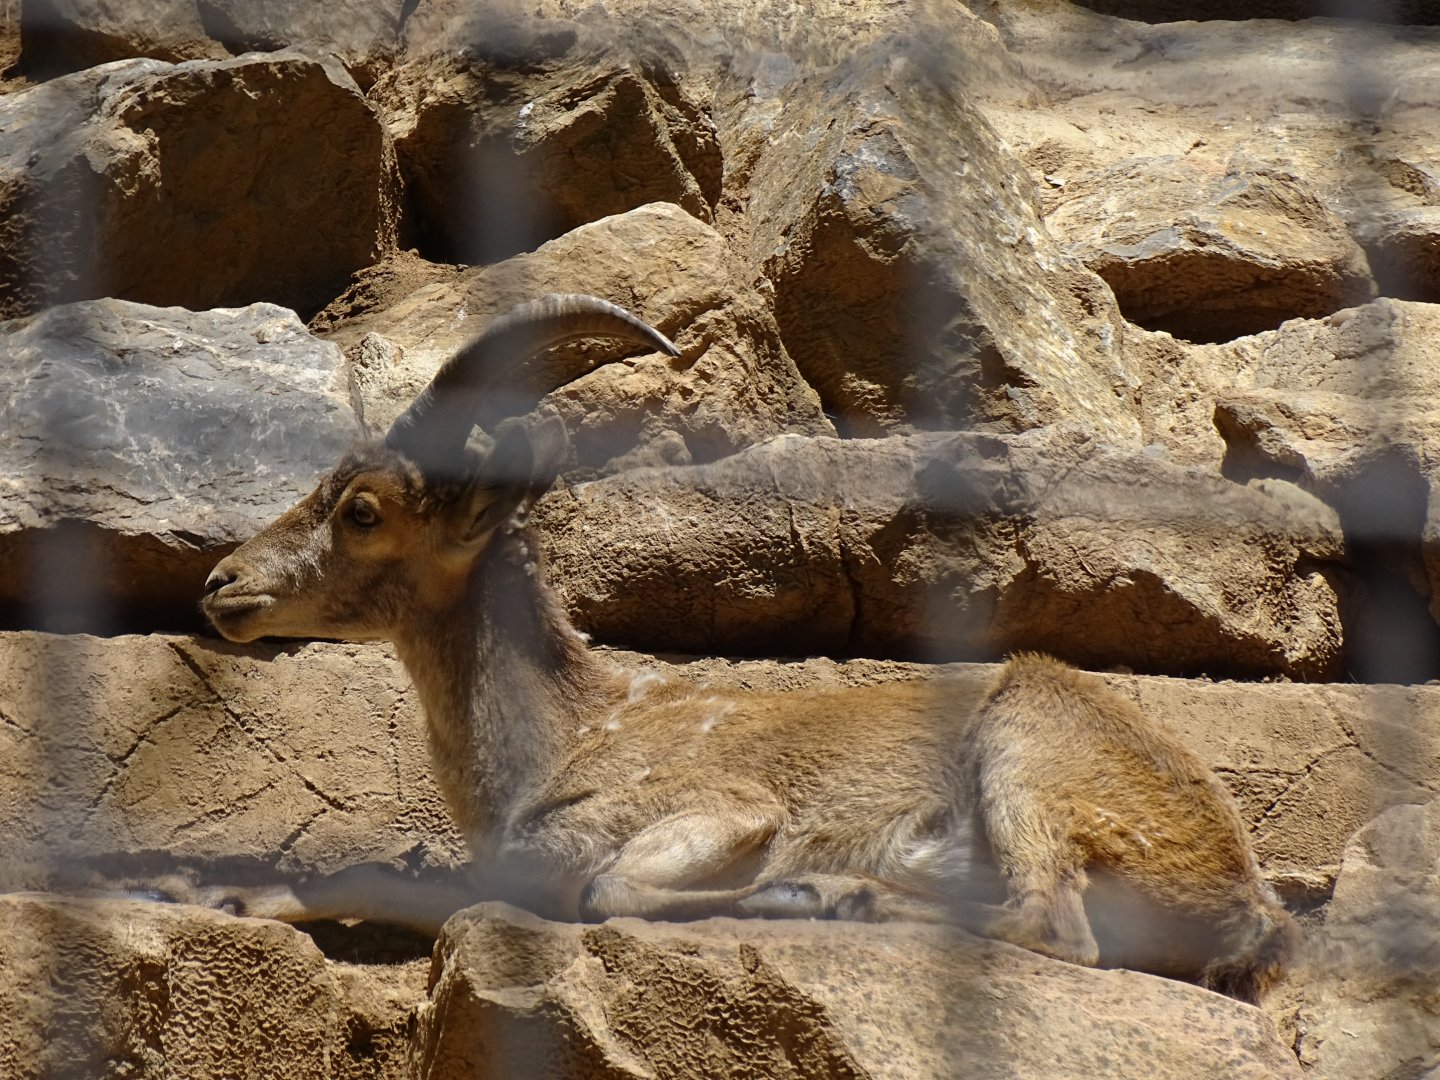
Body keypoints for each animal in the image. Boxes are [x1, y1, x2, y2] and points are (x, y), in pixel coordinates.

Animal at [199, 294, 1297, 1003]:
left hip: (1031, 742)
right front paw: (218, 887)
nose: (221, 585)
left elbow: (605, 887)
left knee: (1054, 925)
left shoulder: (720, 805)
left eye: (363, 509)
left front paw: (785, 885)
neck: (564, 733)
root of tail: (1246, 904)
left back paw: (847, 895)